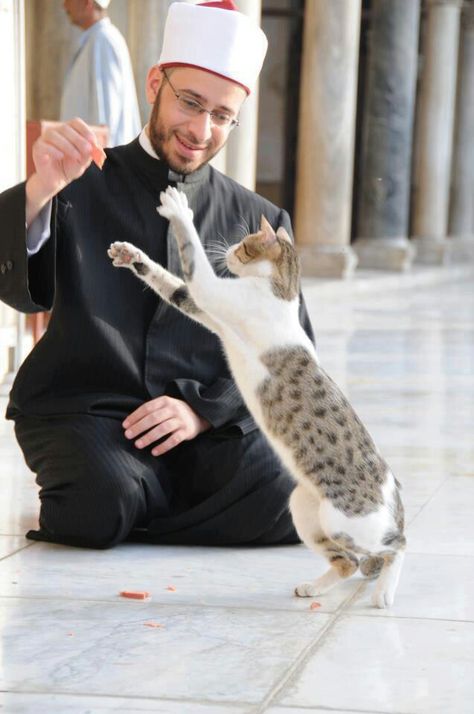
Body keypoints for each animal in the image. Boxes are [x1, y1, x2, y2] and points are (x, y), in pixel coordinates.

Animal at [108, 185, 408, 608]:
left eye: (247, 243)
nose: (230, 250)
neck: (282, 294)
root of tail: (393, 494)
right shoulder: (207, 308)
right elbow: (175, 285)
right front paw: (130, 255)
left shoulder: (216, 293)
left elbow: (192, 257)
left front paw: (179, 209)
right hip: (305, 510)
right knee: (348, 561)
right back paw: (314, 587)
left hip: (348, 522)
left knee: (395, 546)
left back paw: (383, 591)